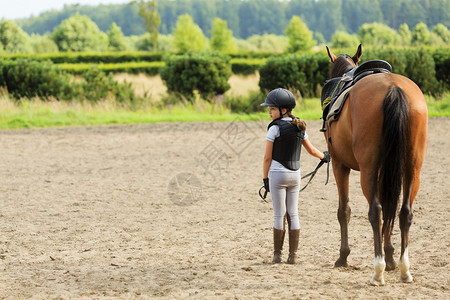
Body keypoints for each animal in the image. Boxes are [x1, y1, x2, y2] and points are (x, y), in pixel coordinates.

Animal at [324, 45, 428, 286]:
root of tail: (393, 88)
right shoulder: (387, 170)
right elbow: (390, 208)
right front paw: (390, 257)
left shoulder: (339, 165)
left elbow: (344, 210)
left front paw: (343, 257)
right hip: (413, 169)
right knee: (404, 212)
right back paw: (404, 269)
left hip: (368, 170)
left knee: (376, 211)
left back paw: (377, 271)